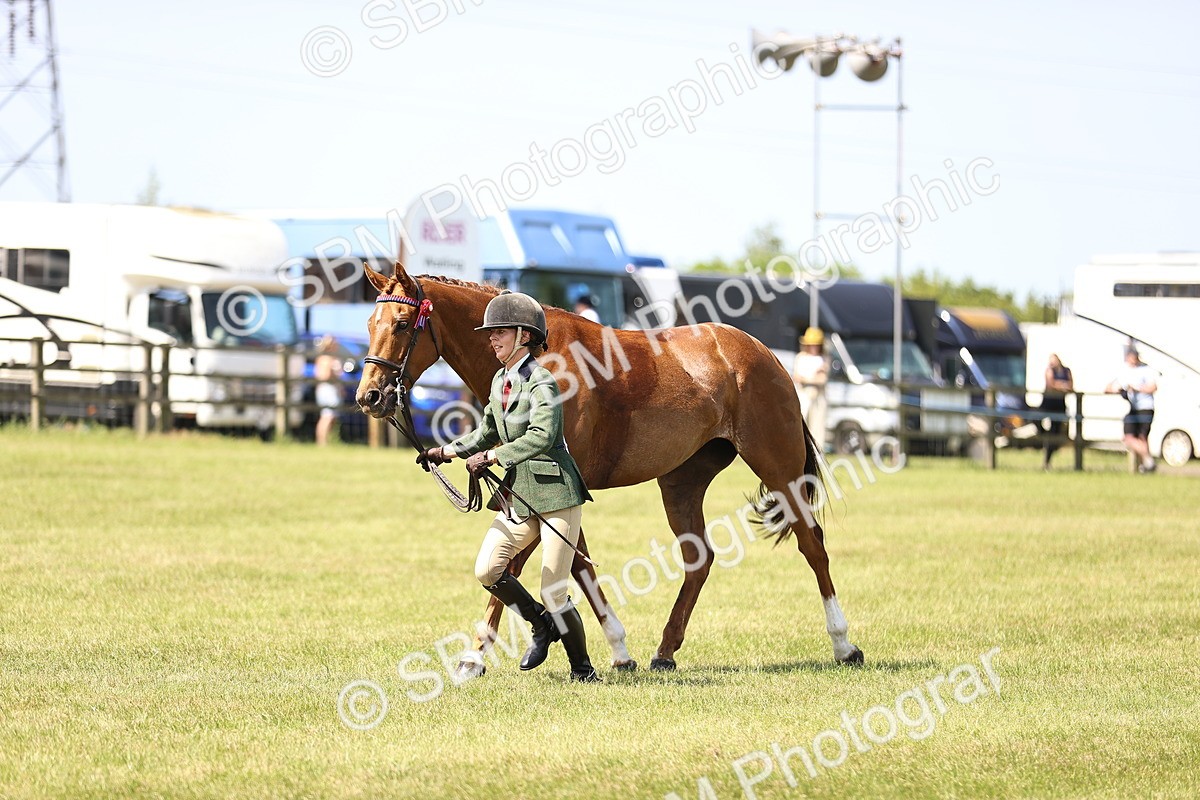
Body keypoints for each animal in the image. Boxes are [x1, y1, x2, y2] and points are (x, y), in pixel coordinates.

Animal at [355, 262, 863, 674]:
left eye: (402, 324)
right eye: (370, 323)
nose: (370, 396)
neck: (540, 357)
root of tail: (767, 355)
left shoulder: (548, 489)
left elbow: (523, 568)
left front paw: (475, 656)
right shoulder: (537, 492)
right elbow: (575, 566)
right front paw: (615, 650)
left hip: (779, 470)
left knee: (813, 545)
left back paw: (844, 644)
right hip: (681, 482)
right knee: (699, 559)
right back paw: (665, 652)